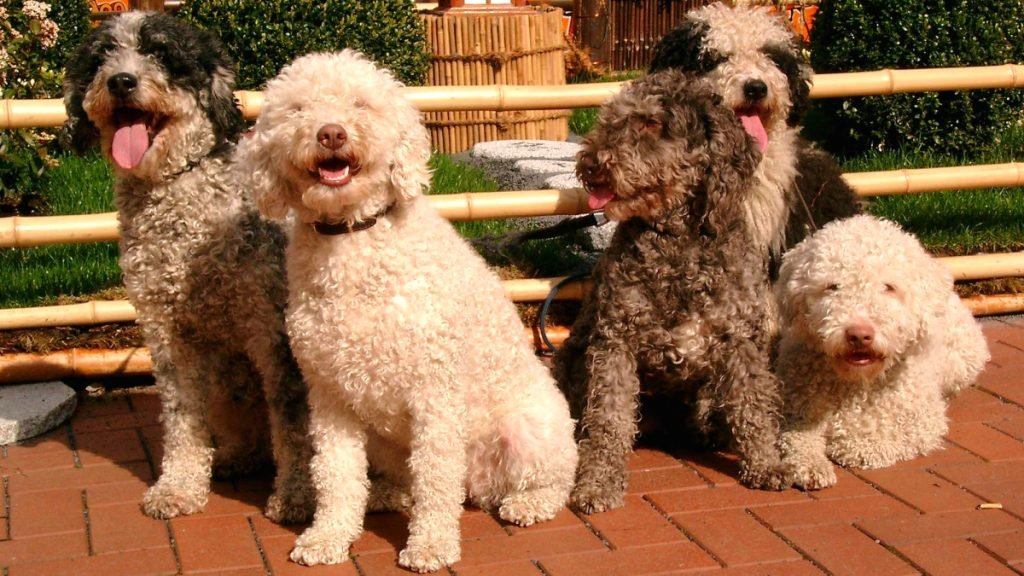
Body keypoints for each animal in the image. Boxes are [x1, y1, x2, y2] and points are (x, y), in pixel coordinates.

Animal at [62, 12, 314, 523]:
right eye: (102, 56)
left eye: (161, 53)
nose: (121, 81)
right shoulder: (167, 335)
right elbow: (181, 419)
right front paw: (177, 486)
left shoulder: (272, 329)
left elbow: (292, 420)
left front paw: (296, 495)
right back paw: (234, 458)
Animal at [237, 50, 578, 572]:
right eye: (297, 109)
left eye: (362, 104)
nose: (330, 133)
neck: (353, 239)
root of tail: (477, 485)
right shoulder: (329, 395)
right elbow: (336, 475)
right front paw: (327, 537)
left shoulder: (434, 392)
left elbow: (435, 479)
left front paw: (431, 545)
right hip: (384, 439)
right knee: (408, 481)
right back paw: (385, 495)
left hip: (530, 430)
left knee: (549, 481)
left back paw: (526, 503)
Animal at [555, 69, 791, 515]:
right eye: (612, 118)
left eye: (652, 123)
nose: (592, 163)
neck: (679, 243)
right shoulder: (614, 343)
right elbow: (609, 420)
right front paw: (599, 482)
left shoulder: (742, 340)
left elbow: (753, 404)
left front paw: (766, 463)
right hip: (571, 359)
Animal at [775, 215, 990, 489]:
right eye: (832, 286)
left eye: (889, 287)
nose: (859, 334)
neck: (857, 383)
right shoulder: (794, 409)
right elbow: (798, 437)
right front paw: (811, 464)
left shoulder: (922, 424)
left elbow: (870, 443)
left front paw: (847, 443)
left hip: (965, 357)